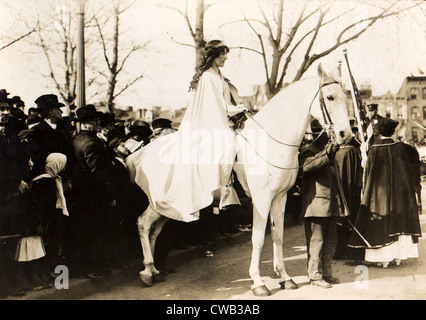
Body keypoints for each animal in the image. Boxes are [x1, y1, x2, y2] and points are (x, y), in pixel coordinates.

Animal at [128, 62, 352, 296]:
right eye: (330, 97)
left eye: (344, 96)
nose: (345, 134)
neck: (269, 142)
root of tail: (141, 153)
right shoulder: (261, 200)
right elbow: (258, 238)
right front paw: (258, 283)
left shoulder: (280, 197)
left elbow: (278, 236)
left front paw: (285, 277)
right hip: (161, 203)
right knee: (143, 224)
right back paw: (147, 272)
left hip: (170, 208)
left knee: (154, 230)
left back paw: (154, 270)